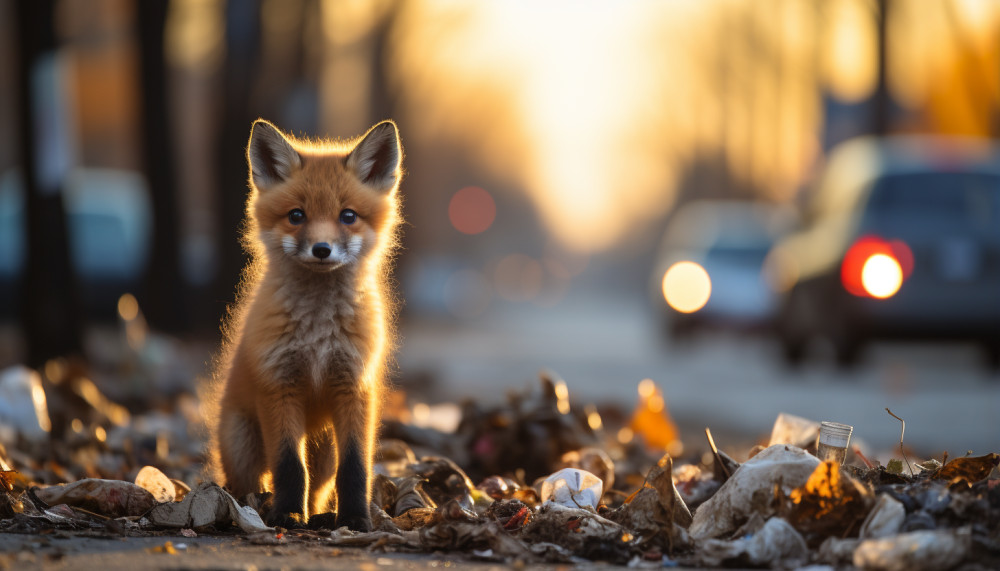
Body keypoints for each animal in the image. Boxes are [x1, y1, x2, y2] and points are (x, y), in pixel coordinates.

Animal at [210, 119, 403, 531]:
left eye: (348, 216)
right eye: (296, 216)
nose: (322, 250)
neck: (318, 333)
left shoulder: (354, 387)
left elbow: (355, 467)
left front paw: (354, 519)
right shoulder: (279, 387)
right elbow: (288, 466)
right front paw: (287, 515)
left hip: (325, 448)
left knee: (318, 488)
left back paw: (318, 517)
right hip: (243, 445)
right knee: (249, 486)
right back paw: (259, 510)